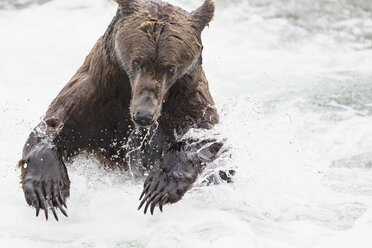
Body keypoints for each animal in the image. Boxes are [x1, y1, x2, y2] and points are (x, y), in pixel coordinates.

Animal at [18, 0, 225, 221]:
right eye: (137, 61)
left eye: (170, 68)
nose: (144, 115)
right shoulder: (94, 94)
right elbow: (53, 126)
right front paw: (47, 189)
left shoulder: (187, 99)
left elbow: (205, 136)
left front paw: (160, 185)